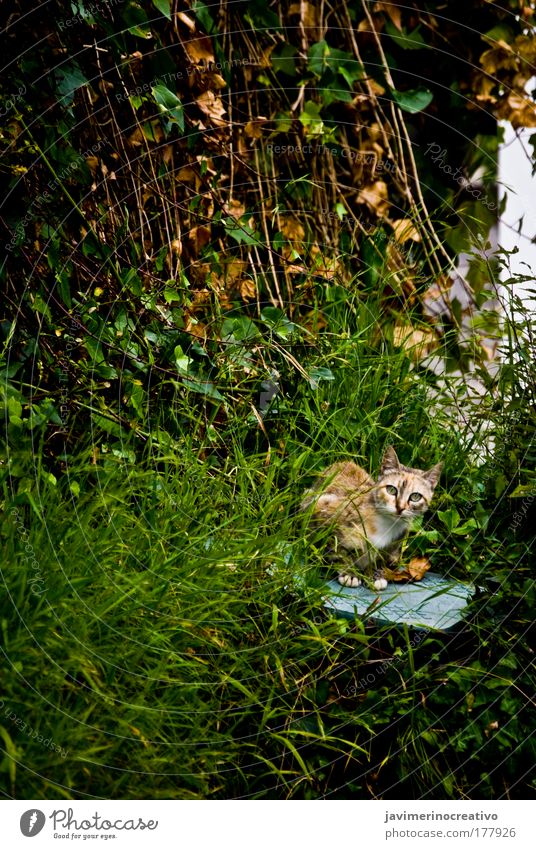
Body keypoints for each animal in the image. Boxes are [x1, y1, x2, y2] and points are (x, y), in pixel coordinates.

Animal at [300, 444, 442, 588]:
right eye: (391, 490)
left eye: (415, 496)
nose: (400, 507)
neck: (385, 524)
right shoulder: (322, 509)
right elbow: (337, 550)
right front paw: (350, 574)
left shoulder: (393, 543)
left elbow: (379, 558)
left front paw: (375, 575)